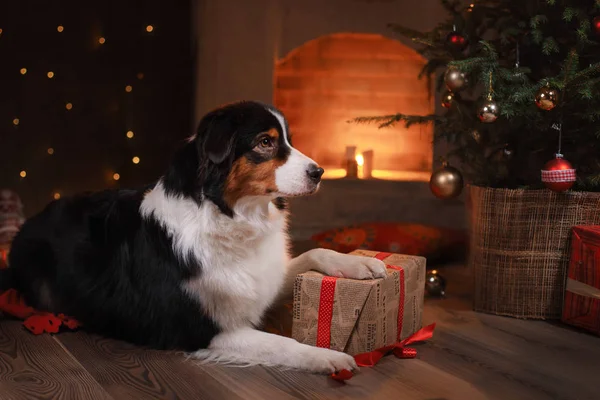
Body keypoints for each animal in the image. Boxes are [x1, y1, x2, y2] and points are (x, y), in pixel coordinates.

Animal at [1, 101, 384, 376]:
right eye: (265, 142)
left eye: (288, 140)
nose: (319, 172)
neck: (229, 218)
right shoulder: (201, 330)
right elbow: (280, 343)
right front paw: (327, 356)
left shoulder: (262, 278)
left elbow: (314, 252)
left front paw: (360, 263)